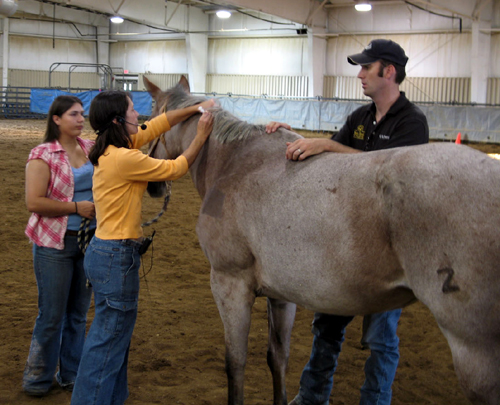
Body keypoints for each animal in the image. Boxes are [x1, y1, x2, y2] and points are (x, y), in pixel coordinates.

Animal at [143, 76, 500, 404]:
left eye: (147, 123)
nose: (152, 186)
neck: (235, 162)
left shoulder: (229, 283)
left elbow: (236, 364)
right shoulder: (281, 294)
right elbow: (278, 358)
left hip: (476, 357)